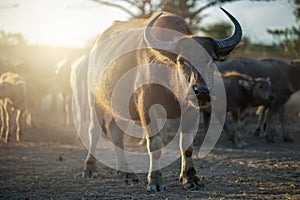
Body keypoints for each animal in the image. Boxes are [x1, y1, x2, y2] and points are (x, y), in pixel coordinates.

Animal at [76, 8, 243, 191]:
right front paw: (155, 181)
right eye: (181, 60)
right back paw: (90, 169)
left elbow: (187, 145)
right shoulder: (147, 107)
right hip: (94, 100)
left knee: (116, 133)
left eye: (212, 59)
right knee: (94, 131)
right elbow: (155, 145)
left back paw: (126, 171)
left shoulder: (191, 110)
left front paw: (190, 177)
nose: (202, 92)